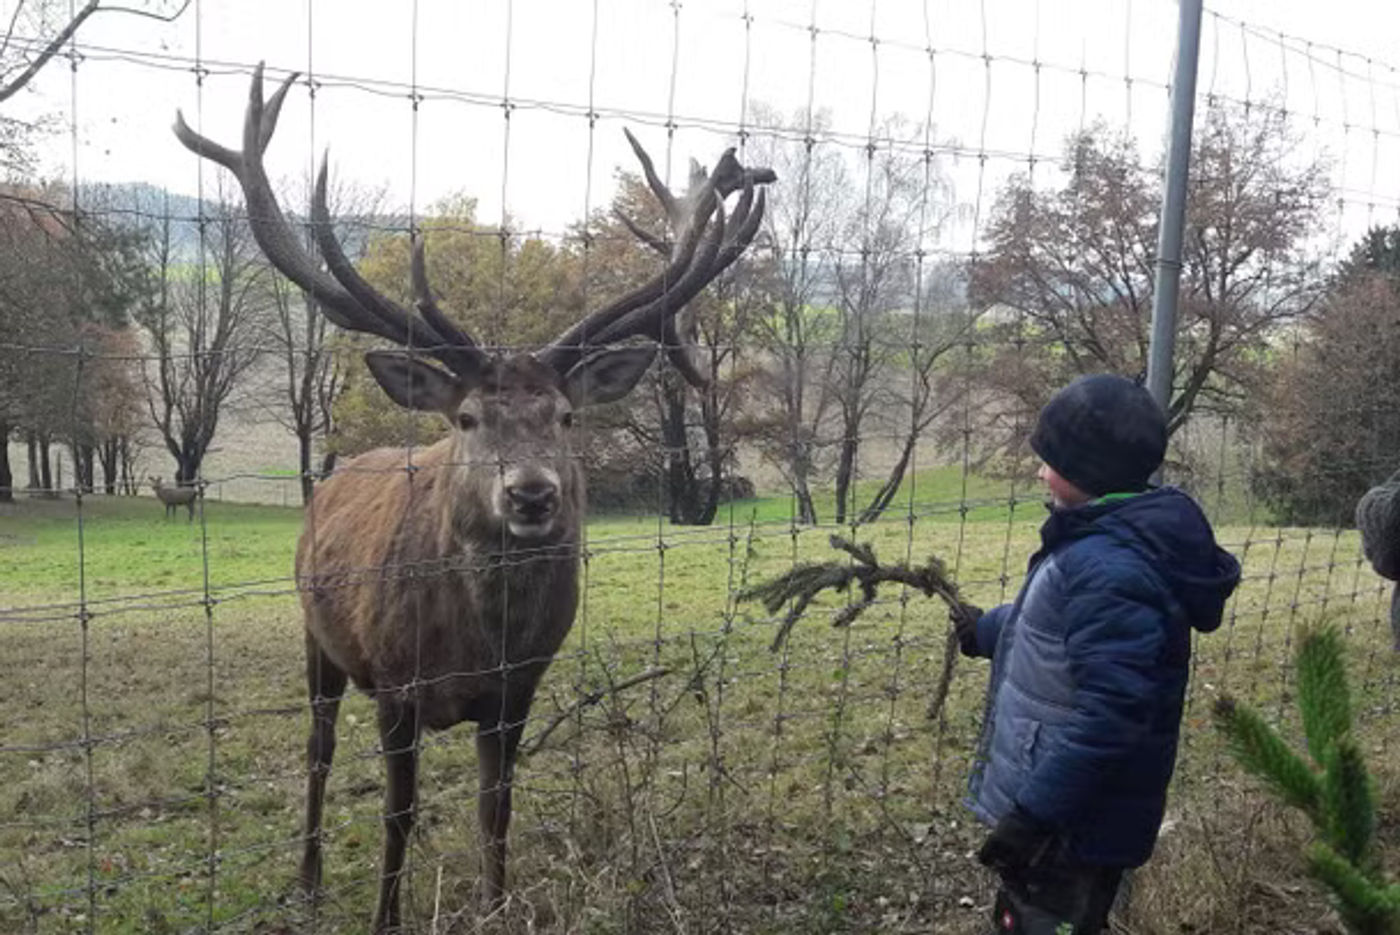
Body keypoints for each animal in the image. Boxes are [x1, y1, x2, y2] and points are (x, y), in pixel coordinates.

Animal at [172, 61, 778, 929]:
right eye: (466, 416)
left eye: (565, 414)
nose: (531, 494)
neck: (475, 640)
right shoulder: (396, 683)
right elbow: (396, 811)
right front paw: (386, 915)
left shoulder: (517, 686)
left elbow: (497, 803)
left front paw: (495, 903)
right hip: (316, 633)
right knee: (318, 754)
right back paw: (309, 876)